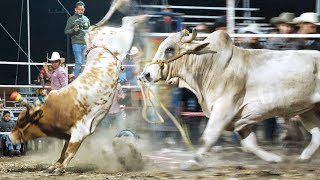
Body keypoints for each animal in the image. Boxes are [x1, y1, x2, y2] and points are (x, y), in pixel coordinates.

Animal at [8, 2, 146, 176]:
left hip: (122, 39)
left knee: (127, 21)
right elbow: (63, 151)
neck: (52, 109)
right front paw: (54, 166)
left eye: (21, 121)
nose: (10, 137)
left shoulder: (80, 132)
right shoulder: (68, 135)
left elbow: (69, 152)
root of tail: (94, 34)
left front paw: (59, 168)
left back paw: (142, 17)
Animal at [141, 29, 320, 170]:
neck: (210, 66)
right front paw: (275, 159)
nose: (146, 74)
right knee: (317, 134)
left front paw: (191, 162)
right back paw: (303, 157)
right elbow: (250, 144)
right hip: (308, 110)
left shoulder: (225, 108)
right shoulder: (241, 119)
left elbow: (208, 137)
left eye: (169, 49)